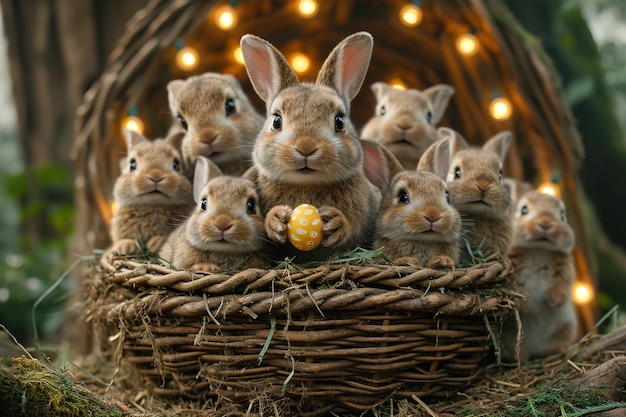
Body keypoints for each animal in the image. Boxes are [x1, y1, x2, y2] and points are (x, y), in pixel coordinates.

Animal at [239, 31, 400, 260]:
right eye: (276, 121)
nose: (306, 147)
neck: (307, 183)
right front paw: (276, 220)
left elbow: (353, 226)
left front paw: (336, 223)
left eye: (339, 121)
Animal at [500, 190, 576, 360]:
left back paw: (557, 350)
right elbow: (514, 287)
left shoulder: (565, 271)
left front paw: (553, 300)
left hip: (565, 326)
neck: (538, 248)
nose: (546, 224)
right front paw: (525, 304)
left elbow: (563, 285)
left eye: (562, 215)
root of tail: (533, 349)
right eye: (524, 210)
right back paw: (518, 355)